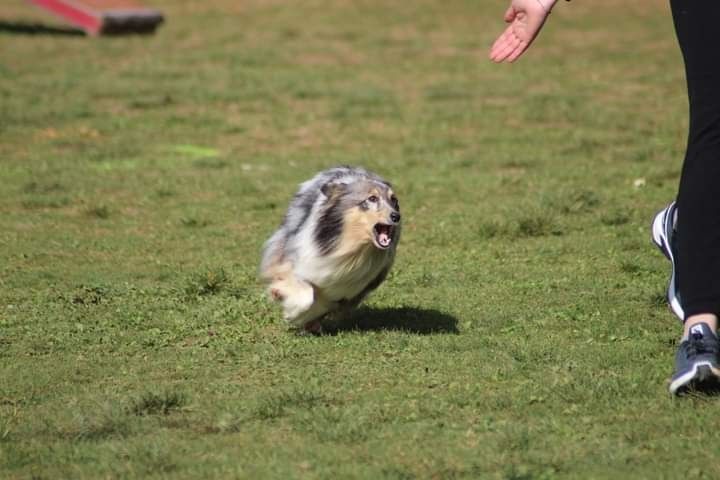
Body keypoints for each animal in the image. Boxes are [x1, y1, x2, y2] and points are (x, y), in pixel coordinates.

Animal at [262, 167, 402, 332]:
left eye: (394, 200)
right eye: (372, 198)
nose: (396, 216)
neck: (350, 249)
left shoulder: (347, 290)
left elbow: (322, 303)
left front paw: (301, 316)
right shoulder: (295, 260)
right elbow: (306, 293)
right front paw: (288, 305)